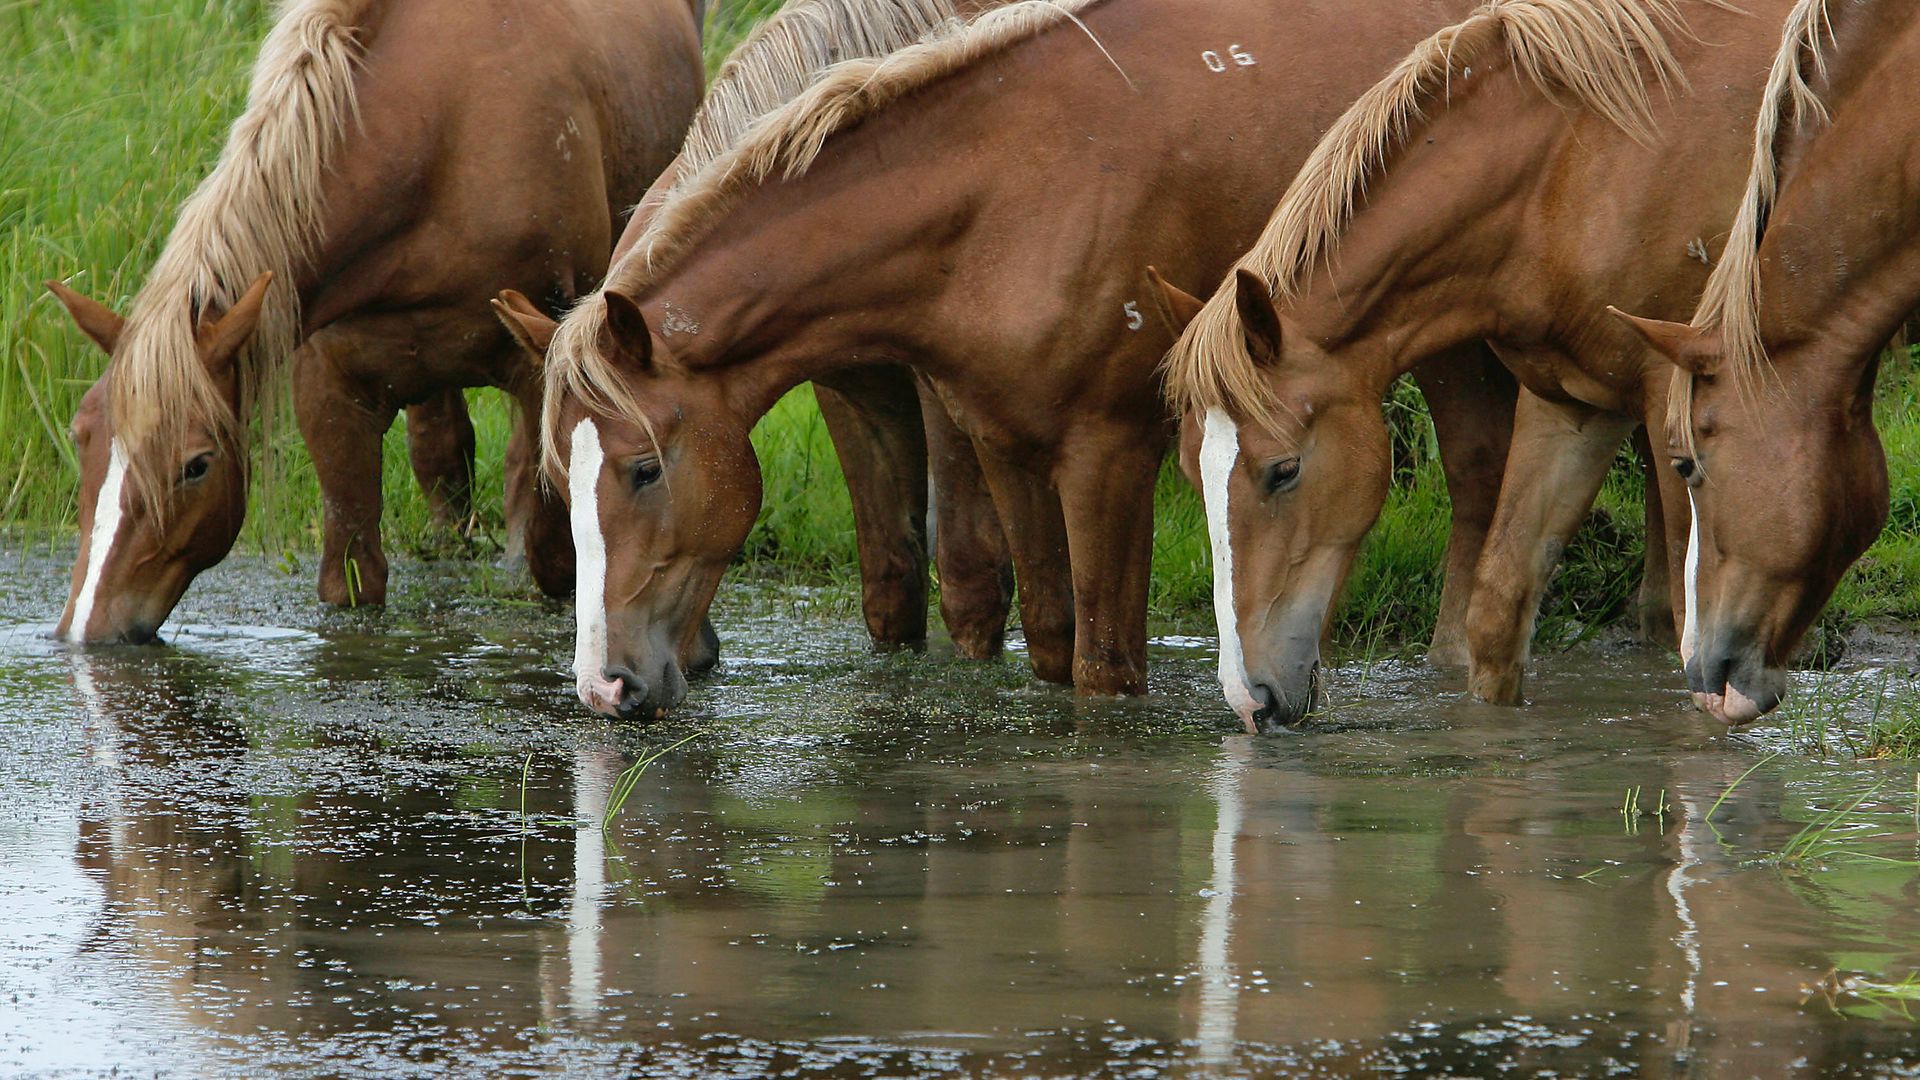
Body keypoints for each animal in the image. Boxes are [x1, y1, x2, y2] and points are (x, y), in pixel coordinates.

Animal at [44, 0, 704, 643]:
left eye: (196, 465)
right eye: (81, 435)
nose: (86, 629)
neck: (440, 139)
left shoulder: (542, 374)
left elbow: (555, 557)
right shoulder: (330, 390)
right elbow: (352, 575)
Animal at [509, 0, 1540, 719]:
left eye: (644, 470)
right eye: (561, 479)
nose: (603, 689)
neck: (1008, 194)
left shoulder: (1109, 455)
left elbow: (1103, 668)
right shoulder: (1004, 443)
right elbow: (1046, 633)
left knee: (1483, 470)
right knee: (1485, 466)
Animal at [1158, 0, 1788, 729]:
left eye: (1283, 470)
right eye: (1190, 472)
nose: (1248, 699)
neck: (1579, 162)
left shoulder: (1670, 405)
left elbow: (1696, 634)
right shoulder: (1574, 398)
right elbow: (1497, 609)